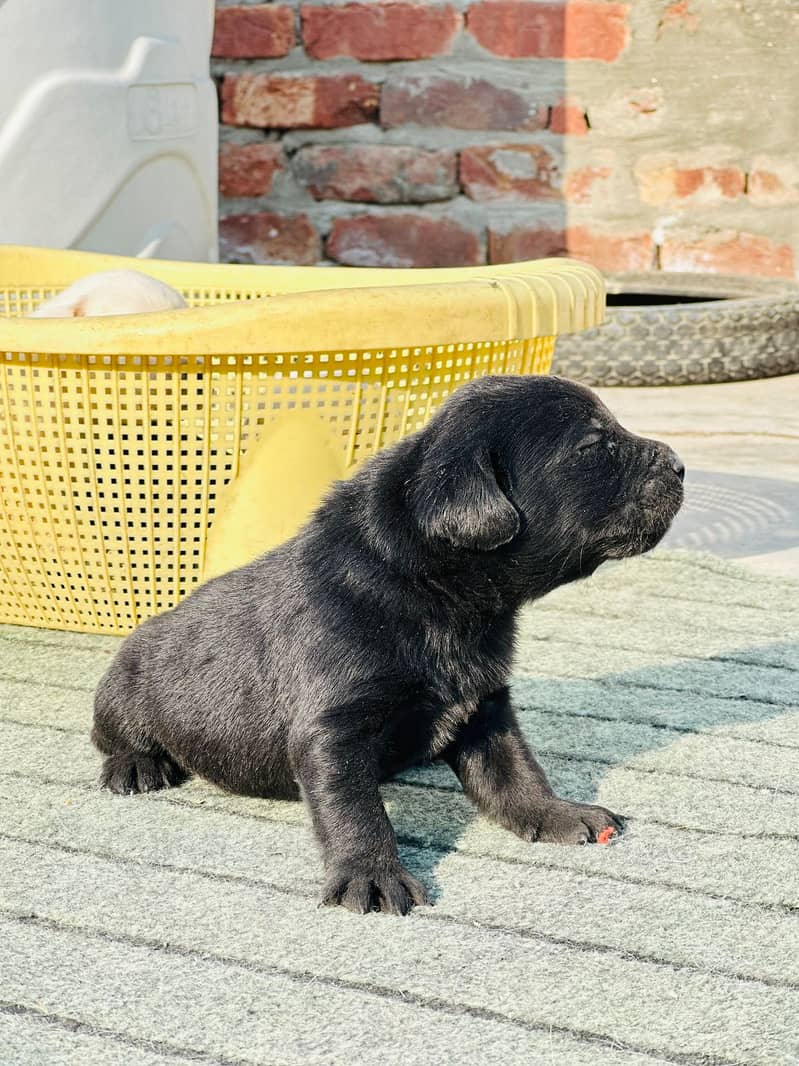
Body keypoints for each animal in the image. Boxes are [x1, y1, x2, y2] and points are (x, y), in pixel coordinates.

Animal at [92, 375, 681, 916]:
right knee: (112, 735)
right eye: (593, 445)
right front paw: (371, 876)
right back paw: (136, 766)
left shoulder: (485, 705)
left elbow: (515, 770)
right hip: (124, 684)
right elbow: (355, 809)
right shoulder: (334, 729)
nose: (679, 465)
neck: (434, 589)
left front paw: (557, 813)